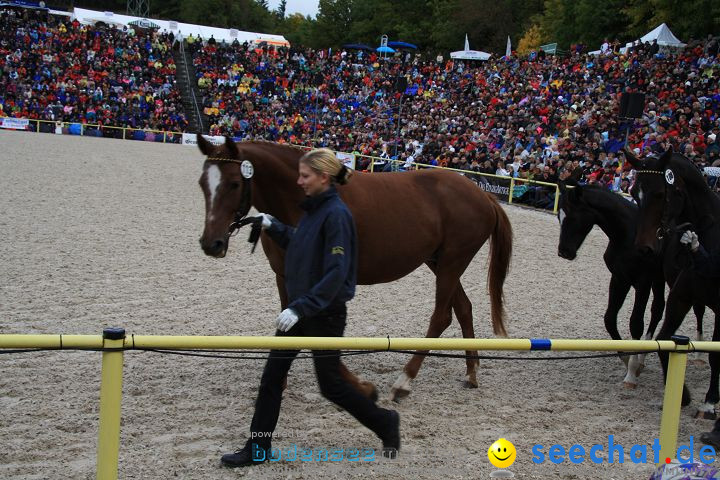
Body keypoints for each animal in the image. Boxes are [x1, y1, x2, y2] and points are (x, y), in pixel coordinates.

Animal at [197, 136, 512, 402]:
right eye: (202, 183)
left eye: (234, 183)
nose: (211, 243)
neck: (304, 203)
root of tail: (483, 195)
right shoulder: (285, 277)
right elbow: (294, 327)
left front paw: (359, 385)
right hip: (440, 263)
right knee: (464, 308)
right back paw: (471, 372)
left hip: (450, 264)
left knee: (442, 317)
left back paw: (404, 381)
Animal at [624, 149, 720, 416]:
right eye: (634, 193)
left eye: (659, 193)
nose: (644, 248)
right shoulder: (680, 297)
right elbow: (666, 338)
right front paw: (682, 395)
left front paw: (709, 403)